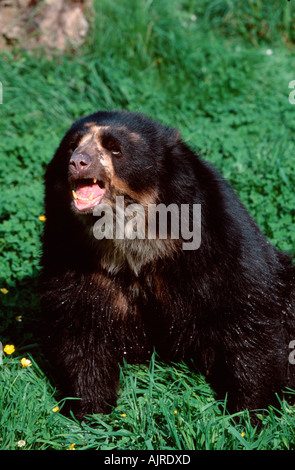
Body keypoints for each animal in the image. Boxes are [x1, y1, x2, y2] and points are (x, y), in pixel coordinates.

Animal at [40, 111, 295, 422]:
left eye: (115, 148)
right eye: (71, 145)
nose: (78, 162)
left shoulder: (214, 239)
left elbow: (245, 309)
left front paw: (250, 411)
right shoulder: (77, 258)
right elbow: (80, 324)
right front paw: (92, 411)